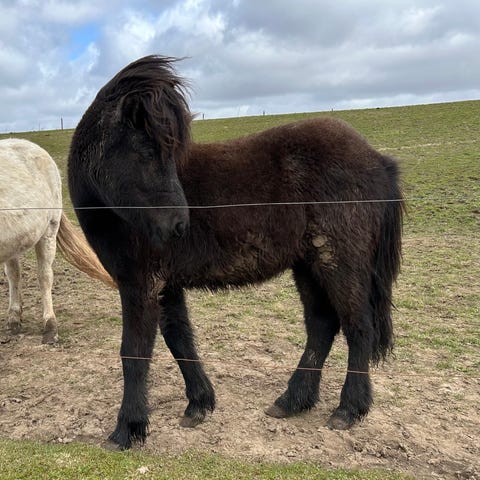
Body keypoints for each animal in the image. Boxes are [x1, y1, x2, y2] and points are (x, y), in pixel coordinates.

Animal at [68, 55, 404, 449]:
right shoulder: (165, 285)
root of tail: (377, 159)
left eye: (170, 152)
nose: (178, 225)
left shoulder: (139, 284)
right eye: (148, 151)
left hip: (339, 262)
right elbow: (179, 339)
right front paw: (199, 404)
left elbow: (133, 352)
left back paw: (348, 409)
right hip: (309, 265)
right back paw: (293, 400)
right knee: (322, 326)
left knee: (358, 326)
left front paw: (126, 430)